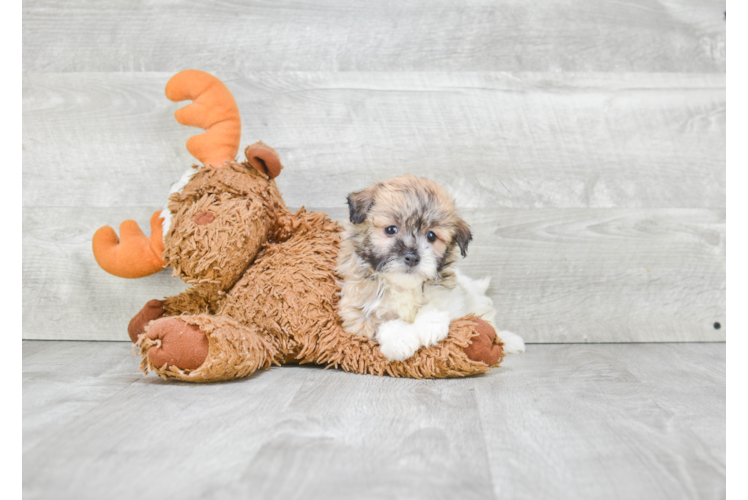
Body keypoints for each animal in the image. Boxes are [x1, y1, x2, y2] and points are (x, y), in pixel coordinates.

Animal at [336, 175, 524, 360]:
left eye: (431, 236)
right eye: (391, 229)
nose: (412, 257)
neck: (403, 286)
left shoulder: (452, 297)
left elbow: (436, 306)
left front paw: (430, 326)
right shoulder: (357, 313)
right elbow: (385, 323)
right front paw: (401, 340)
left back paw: (509, 340)